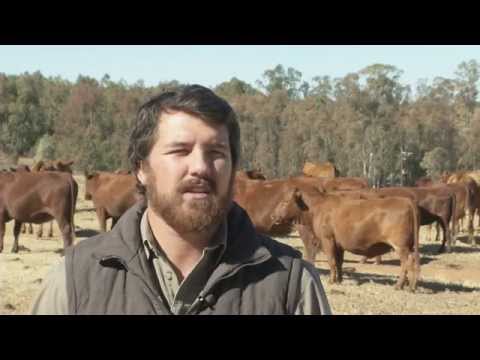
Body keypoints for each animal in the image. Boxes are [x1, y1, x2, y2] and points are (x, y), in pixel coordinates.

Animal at [272, 188, 422, 292]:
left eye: (285, 201)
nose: (273, 216)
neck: (317, 208)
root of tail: (407, 201)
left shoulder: (327, 240)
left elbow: (332, 261)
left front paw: (331, 280)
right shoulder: (339, 245)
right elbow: (339, 262)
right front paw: (339, 279)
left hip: (400, 246)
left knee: (407, 263)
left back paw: (400, 285)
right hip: (410, 245)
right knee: (413, 261)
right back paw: (410, 286)